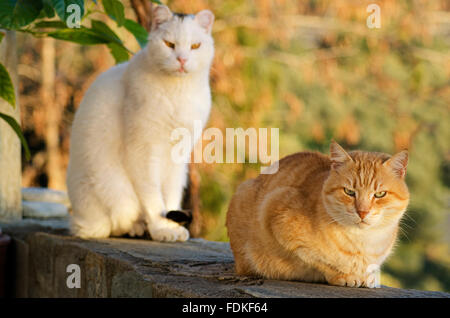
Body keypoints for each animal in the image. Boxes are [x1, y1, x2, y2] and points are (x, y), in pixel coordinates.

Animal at [66, 5, 215, 241]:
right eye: (169, 44)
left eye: (195, 46)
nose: (182, 60)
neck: (179, 92)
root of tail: (82, 220)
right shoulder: (143, 151)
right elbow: (153, 197)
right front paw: (162, 229)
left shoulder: (179, 157)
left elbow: (171, 195)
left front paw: (171, 226)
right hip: (117, 195)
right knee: (117, 224)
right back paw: (137, 228)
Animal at [227, 142, 410, 288]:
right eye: (349, 192)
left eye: (380, 194)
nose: (362, 212)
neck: (364, 241)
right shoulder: (275, 213)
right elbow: (318, 260)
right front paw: (343, 275)